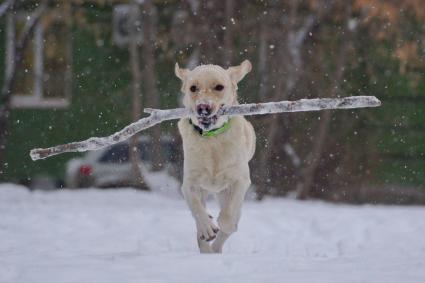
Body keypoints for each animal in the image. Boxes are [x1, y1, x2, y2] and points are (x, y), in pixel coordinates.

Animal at [175, 60, 255, 255]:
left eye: (219, 87)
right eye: (193, 88)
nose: (203, 108)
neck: (212, 139)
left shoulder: (241, 180)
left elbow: (228, 218)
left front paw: (223, 224)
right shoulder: (189, 184)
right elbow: (197, 209)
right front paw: (207, 228)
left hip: (227, 194)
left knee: (231, 222)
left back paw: (216, 247)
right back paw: (206, 242)